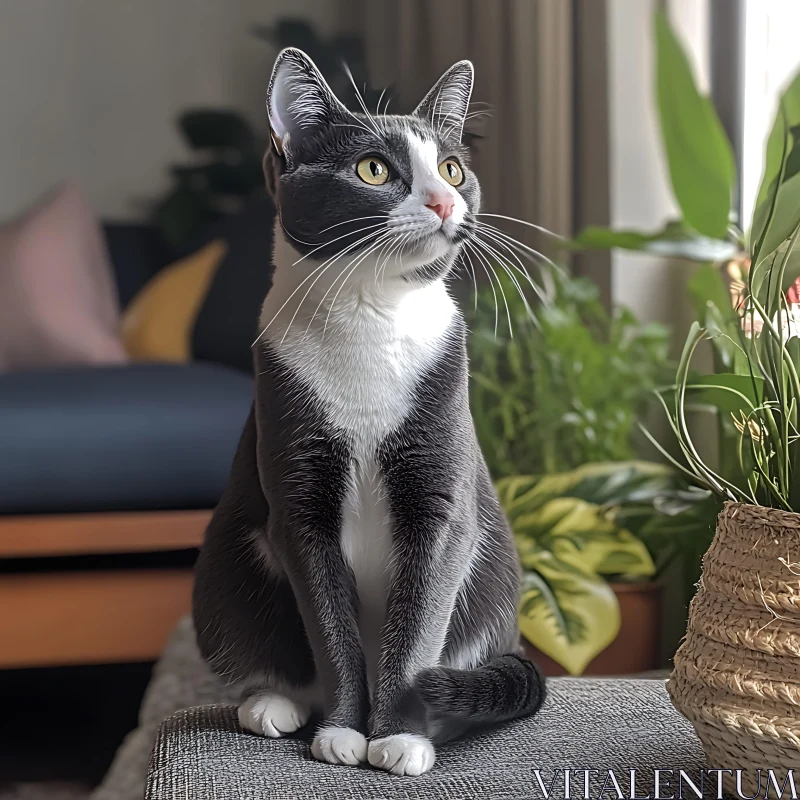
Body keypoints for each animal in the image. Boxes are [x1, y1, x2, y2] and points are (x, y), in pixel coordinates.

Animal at [192, 45, 544, 776]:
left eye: (452, 168)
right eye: (373, 169)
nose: (443, 199)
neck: (370, 316)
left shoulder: (441, 492)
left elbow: (419, 621)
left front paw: (400, 736)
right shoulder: (298, 494)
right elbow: (330, 625)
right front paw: (343, 732)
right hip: (223, 570)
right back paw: (276, 704)